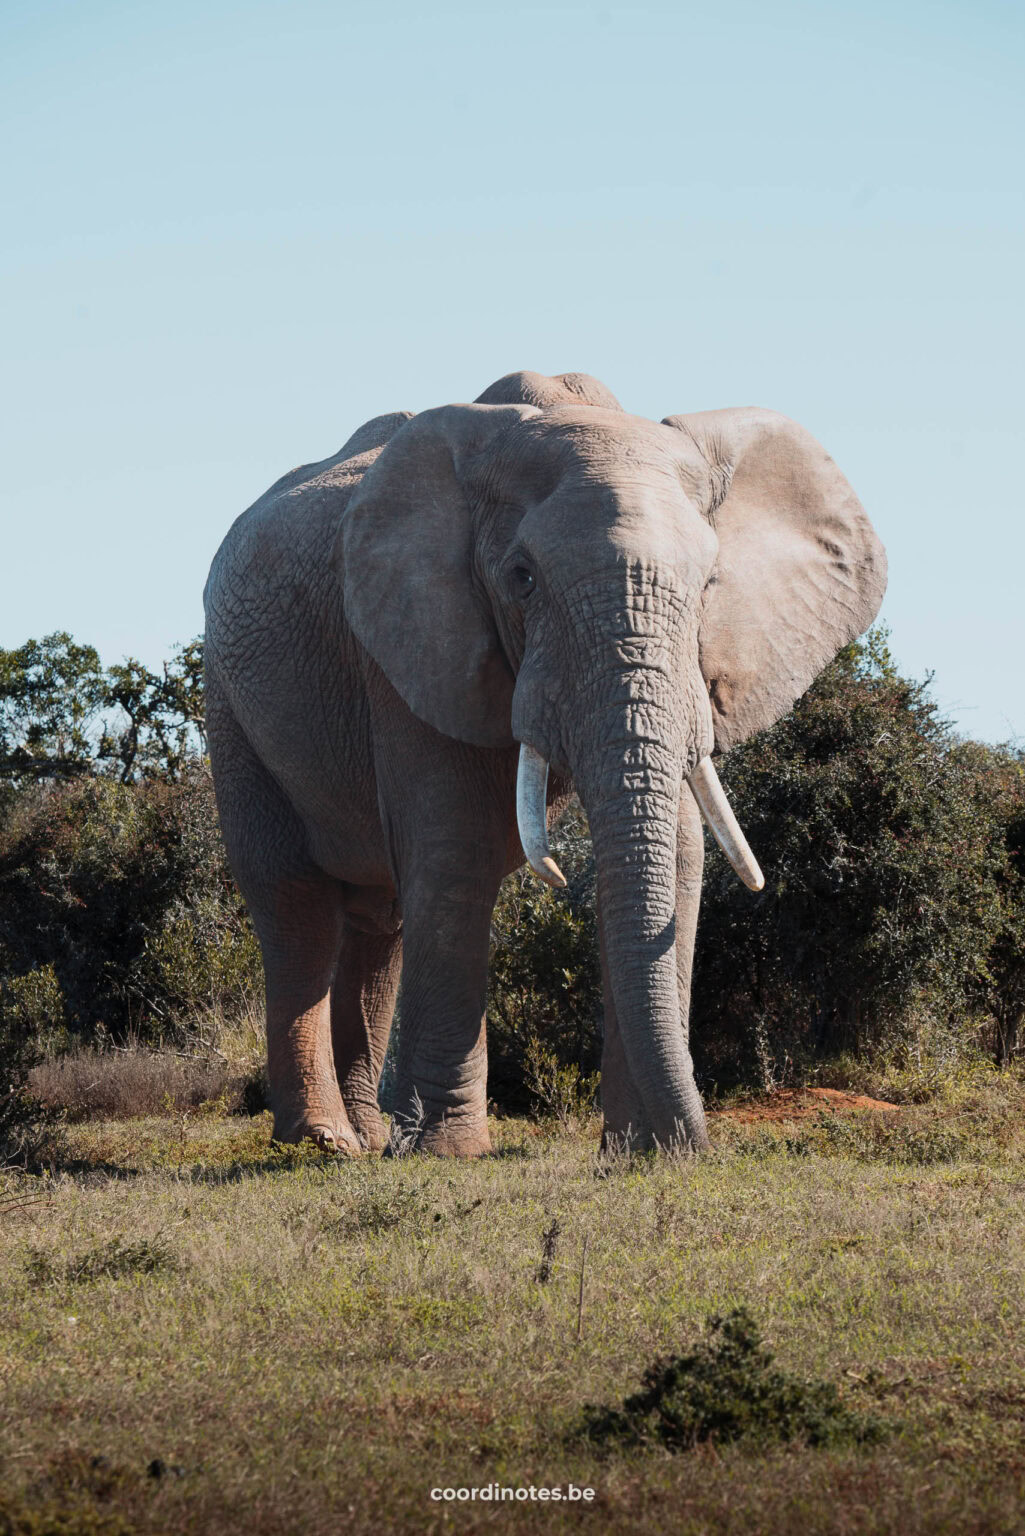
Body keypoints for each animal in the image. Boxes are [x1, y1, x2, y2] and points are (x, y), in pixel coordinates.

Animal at [204, 371, 885, 1155]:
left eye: (711, 583)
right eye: (522, 578)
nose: (695, 1146)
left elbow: (682, 853)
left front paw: (636, 1151)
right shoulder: (412, 644)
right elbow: (456, 852)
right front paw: (446, 1153)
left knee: (378, 924)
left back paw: (370, 1140)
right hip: (228, 699)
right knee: (296, 905)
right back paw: (324, 1142)